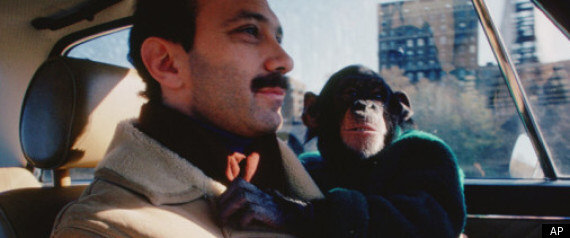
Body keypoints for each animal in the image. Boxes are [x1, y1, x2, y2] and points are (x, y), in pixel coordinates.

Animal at [215, 64, 464, 237]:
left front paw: (282, 207)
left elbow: (424, 213)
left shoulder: (430, 151)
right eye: (350, 93)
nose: (365, 104)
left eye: (378, 96)